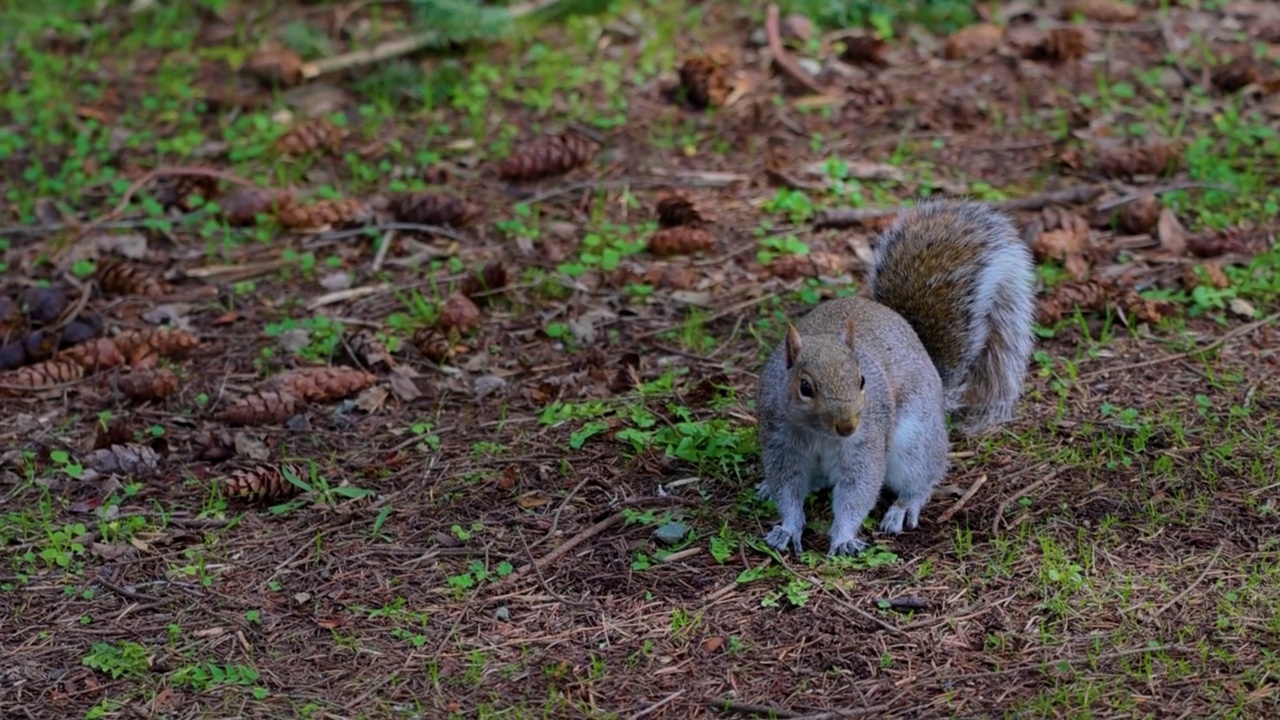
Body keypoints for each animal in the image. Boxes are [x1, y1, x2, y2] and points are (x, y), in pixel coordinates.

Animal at [752, 197, 1034, 556]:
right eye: (805, 387)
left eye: (862, 381)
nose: (847, 426)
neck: (821, 435)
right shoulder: (780, 440)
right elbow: (787, 489)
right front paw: (788, 528)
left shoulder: (866, 443)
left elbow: (858, 490)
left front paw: (843, 537)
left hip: (915, 439)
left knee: (923, 477)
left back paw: (903, 507)